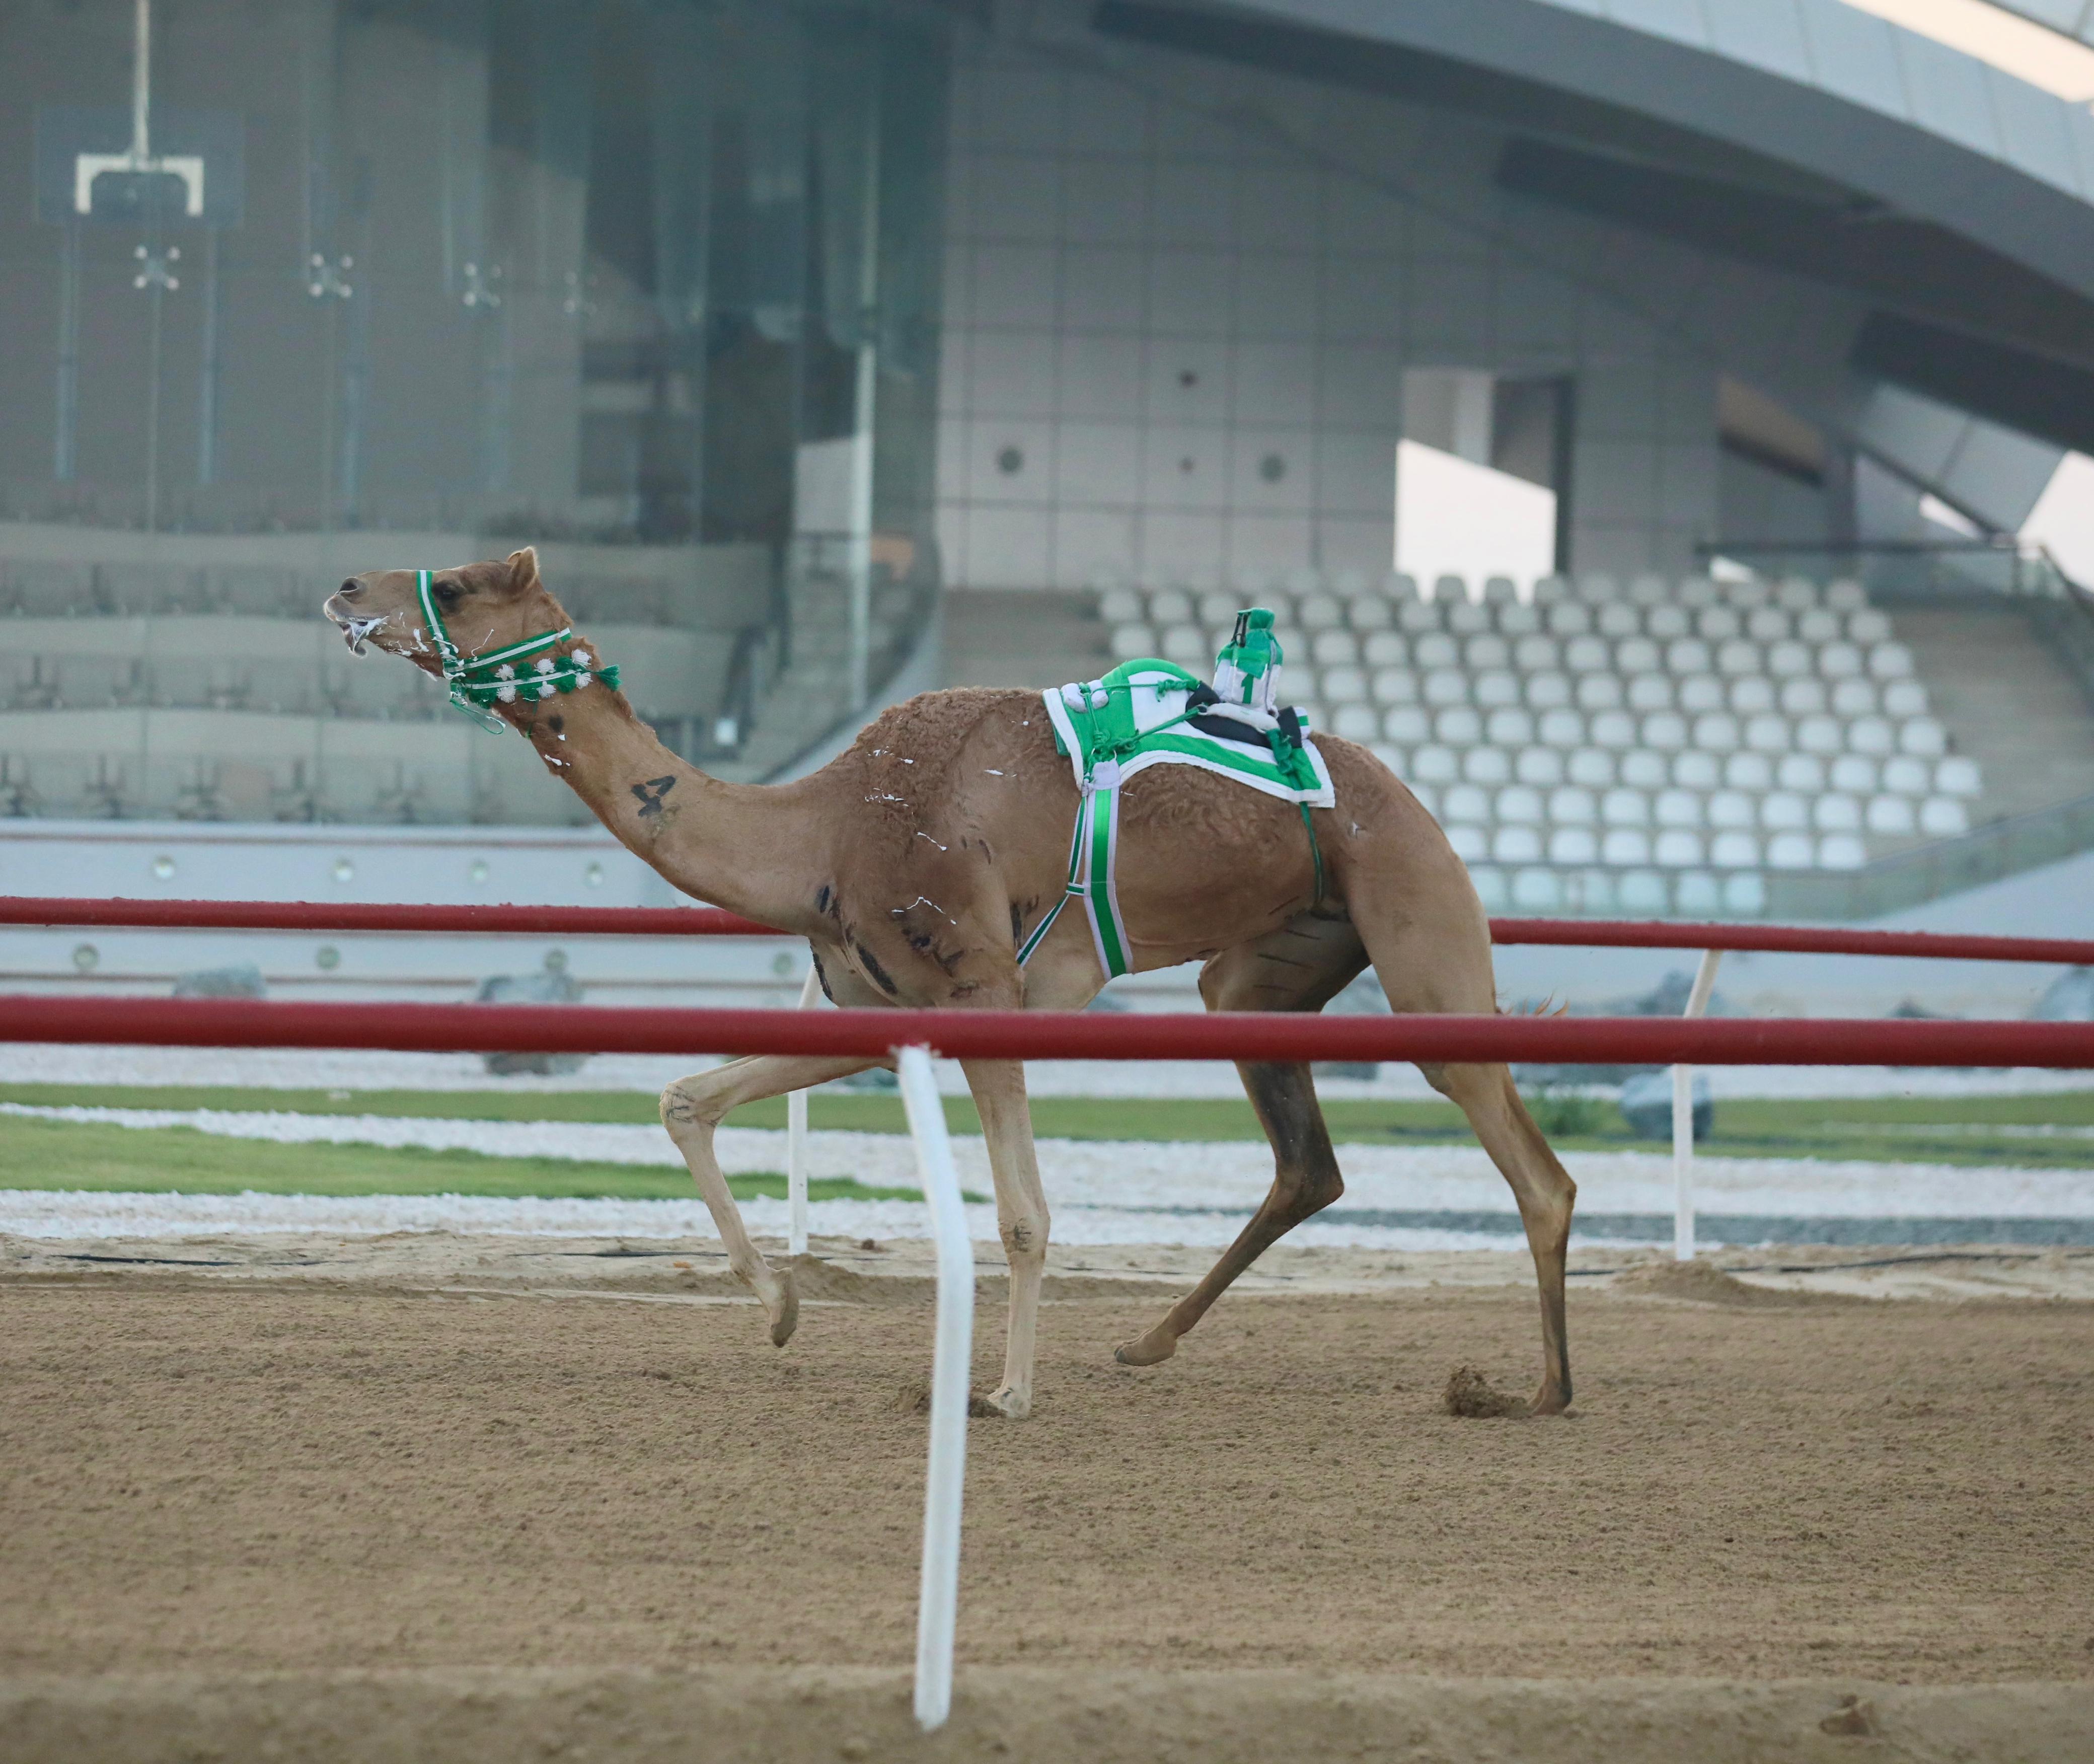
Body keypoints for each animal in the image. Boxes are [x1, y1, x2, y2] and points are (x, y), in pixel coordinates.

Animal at [322, 549, 1575, 1416]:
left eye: (456, 585)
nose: (343, 589)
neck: (822, 830)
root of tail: (1413, 802)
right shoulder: (884, 1012)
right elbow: (689, 1098)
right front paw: (779, 1309)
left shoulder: (983, 996)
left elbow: (1023, 1214)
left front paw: (1004, 1394)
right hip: (1264, 972)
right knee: (1308, 1165)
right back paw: (1148, 1342)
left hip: (1421, 930)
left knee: (1533, 1169)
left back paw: (1535, 1390)